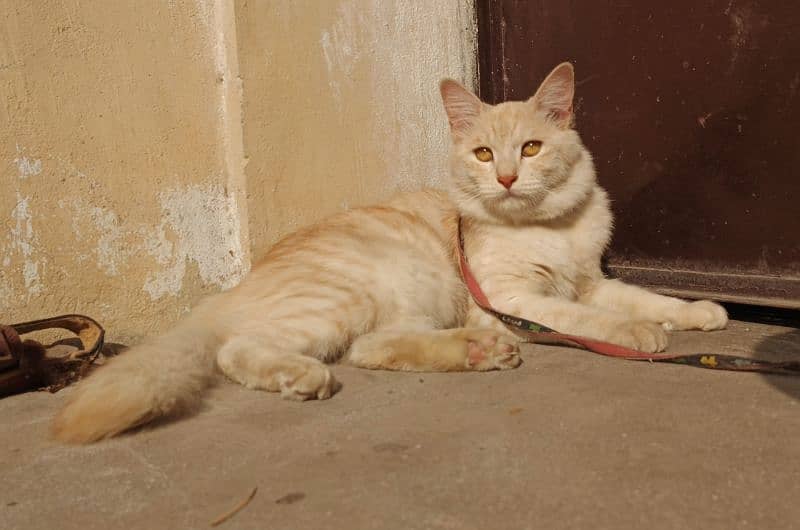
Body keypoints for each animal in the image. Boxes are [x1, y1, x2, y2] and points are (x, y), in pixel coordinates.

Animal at [48, 62, 724, 442]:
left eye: (530, 148)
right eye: (484, 155)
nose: (507, 178)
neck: (548, 227)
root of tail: (233, 290)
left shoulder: (590, 279)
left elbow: (643, 297)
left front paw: (700, 312)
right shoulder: (513, 297)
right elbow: (587, 317)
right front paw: (639, 337)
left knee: (373, 349)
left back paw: (480, 353)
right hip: (359, 292)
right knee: (247, 351)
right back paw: (307, 377)